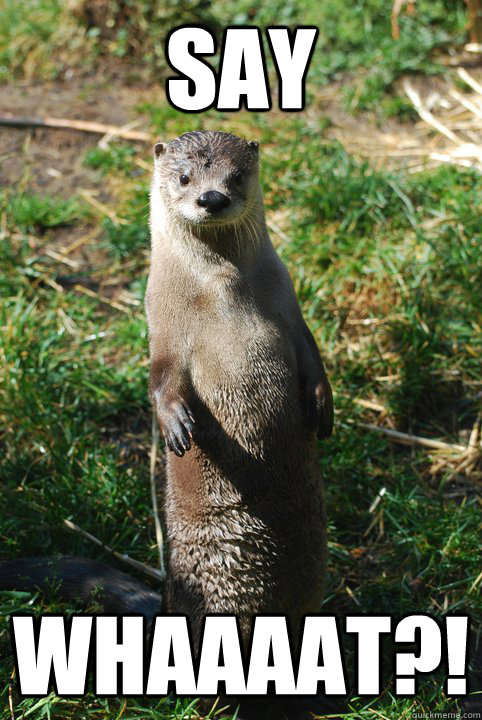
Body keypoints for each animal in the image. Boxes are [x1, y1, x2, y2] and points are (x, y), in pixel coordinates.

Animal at [147, 129, 334, 648]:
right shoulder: (163, 326)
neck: (219, 292)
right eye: (185, 177)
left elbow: (310, 350)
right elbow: (163, 378)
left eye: (235, 175)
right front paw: (177, 424)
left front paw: (322, 404)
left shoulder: (288, 304)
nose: (212, 197)